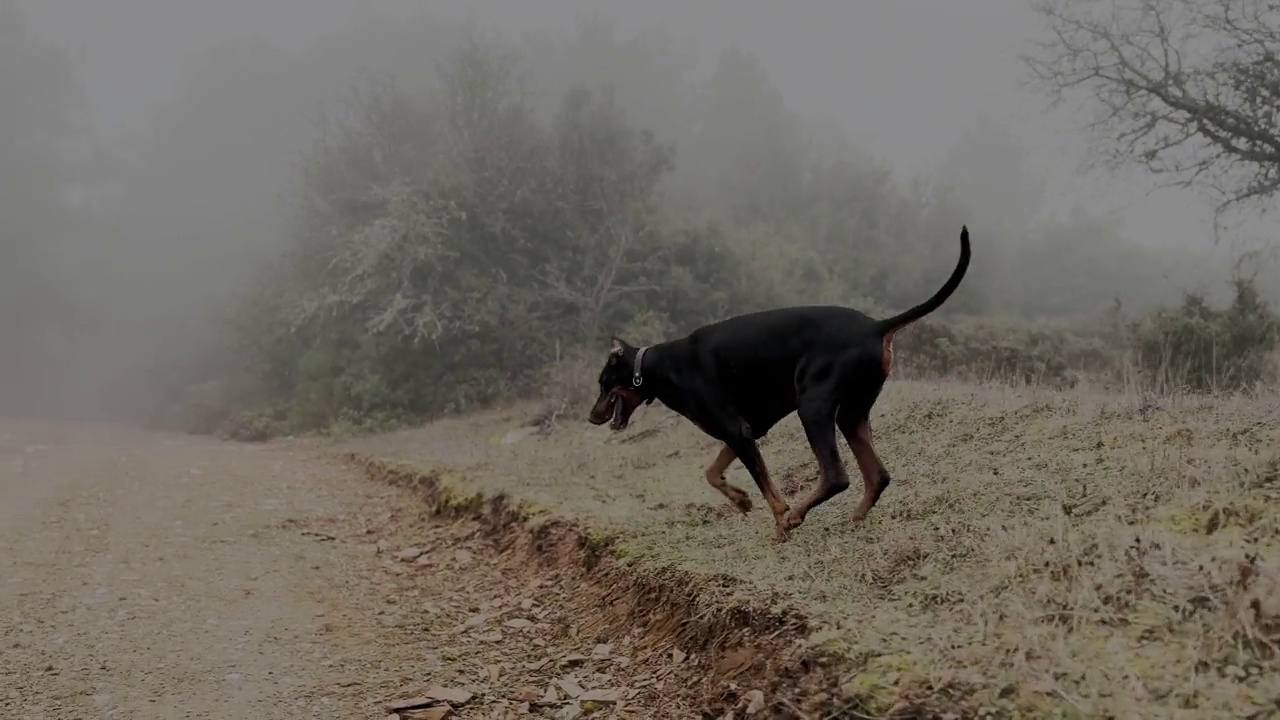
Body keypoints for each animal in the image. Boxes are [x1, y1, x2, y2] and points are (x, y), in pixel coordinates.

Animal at [586, 224, 967, 538]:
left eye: (603, 383)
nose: (591, 417)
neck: (657, 366)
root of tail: (876, 326)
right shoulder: (747, 429)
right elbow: (712, 471)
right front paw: (740, 500)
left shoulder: (737, 429)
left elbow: (765, 486)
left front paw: (780, 518)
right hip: (852, 412)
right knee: (877, 475)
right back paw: (855, 517)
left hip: (812, 407)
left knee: (836, 476)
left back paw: (797, 515)